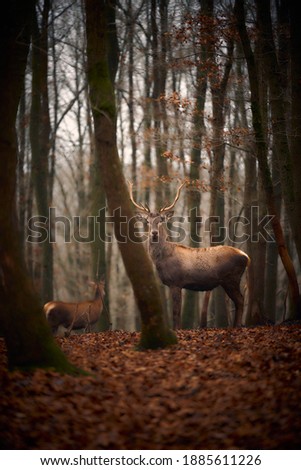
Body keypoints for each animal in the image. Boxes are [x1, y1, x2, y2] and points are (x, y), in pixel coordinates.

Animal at [128, 182, 248, 328]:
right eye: (147, 221)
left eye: (161, 220)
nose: (154, 233)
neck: (161, 259)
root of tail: (246, 257)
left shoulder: (176, 282)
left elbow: (176, 312)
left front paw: (176, 329)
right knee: (239, 300)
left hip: (231, 278)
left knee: (240, 300)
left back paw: (237, 326)